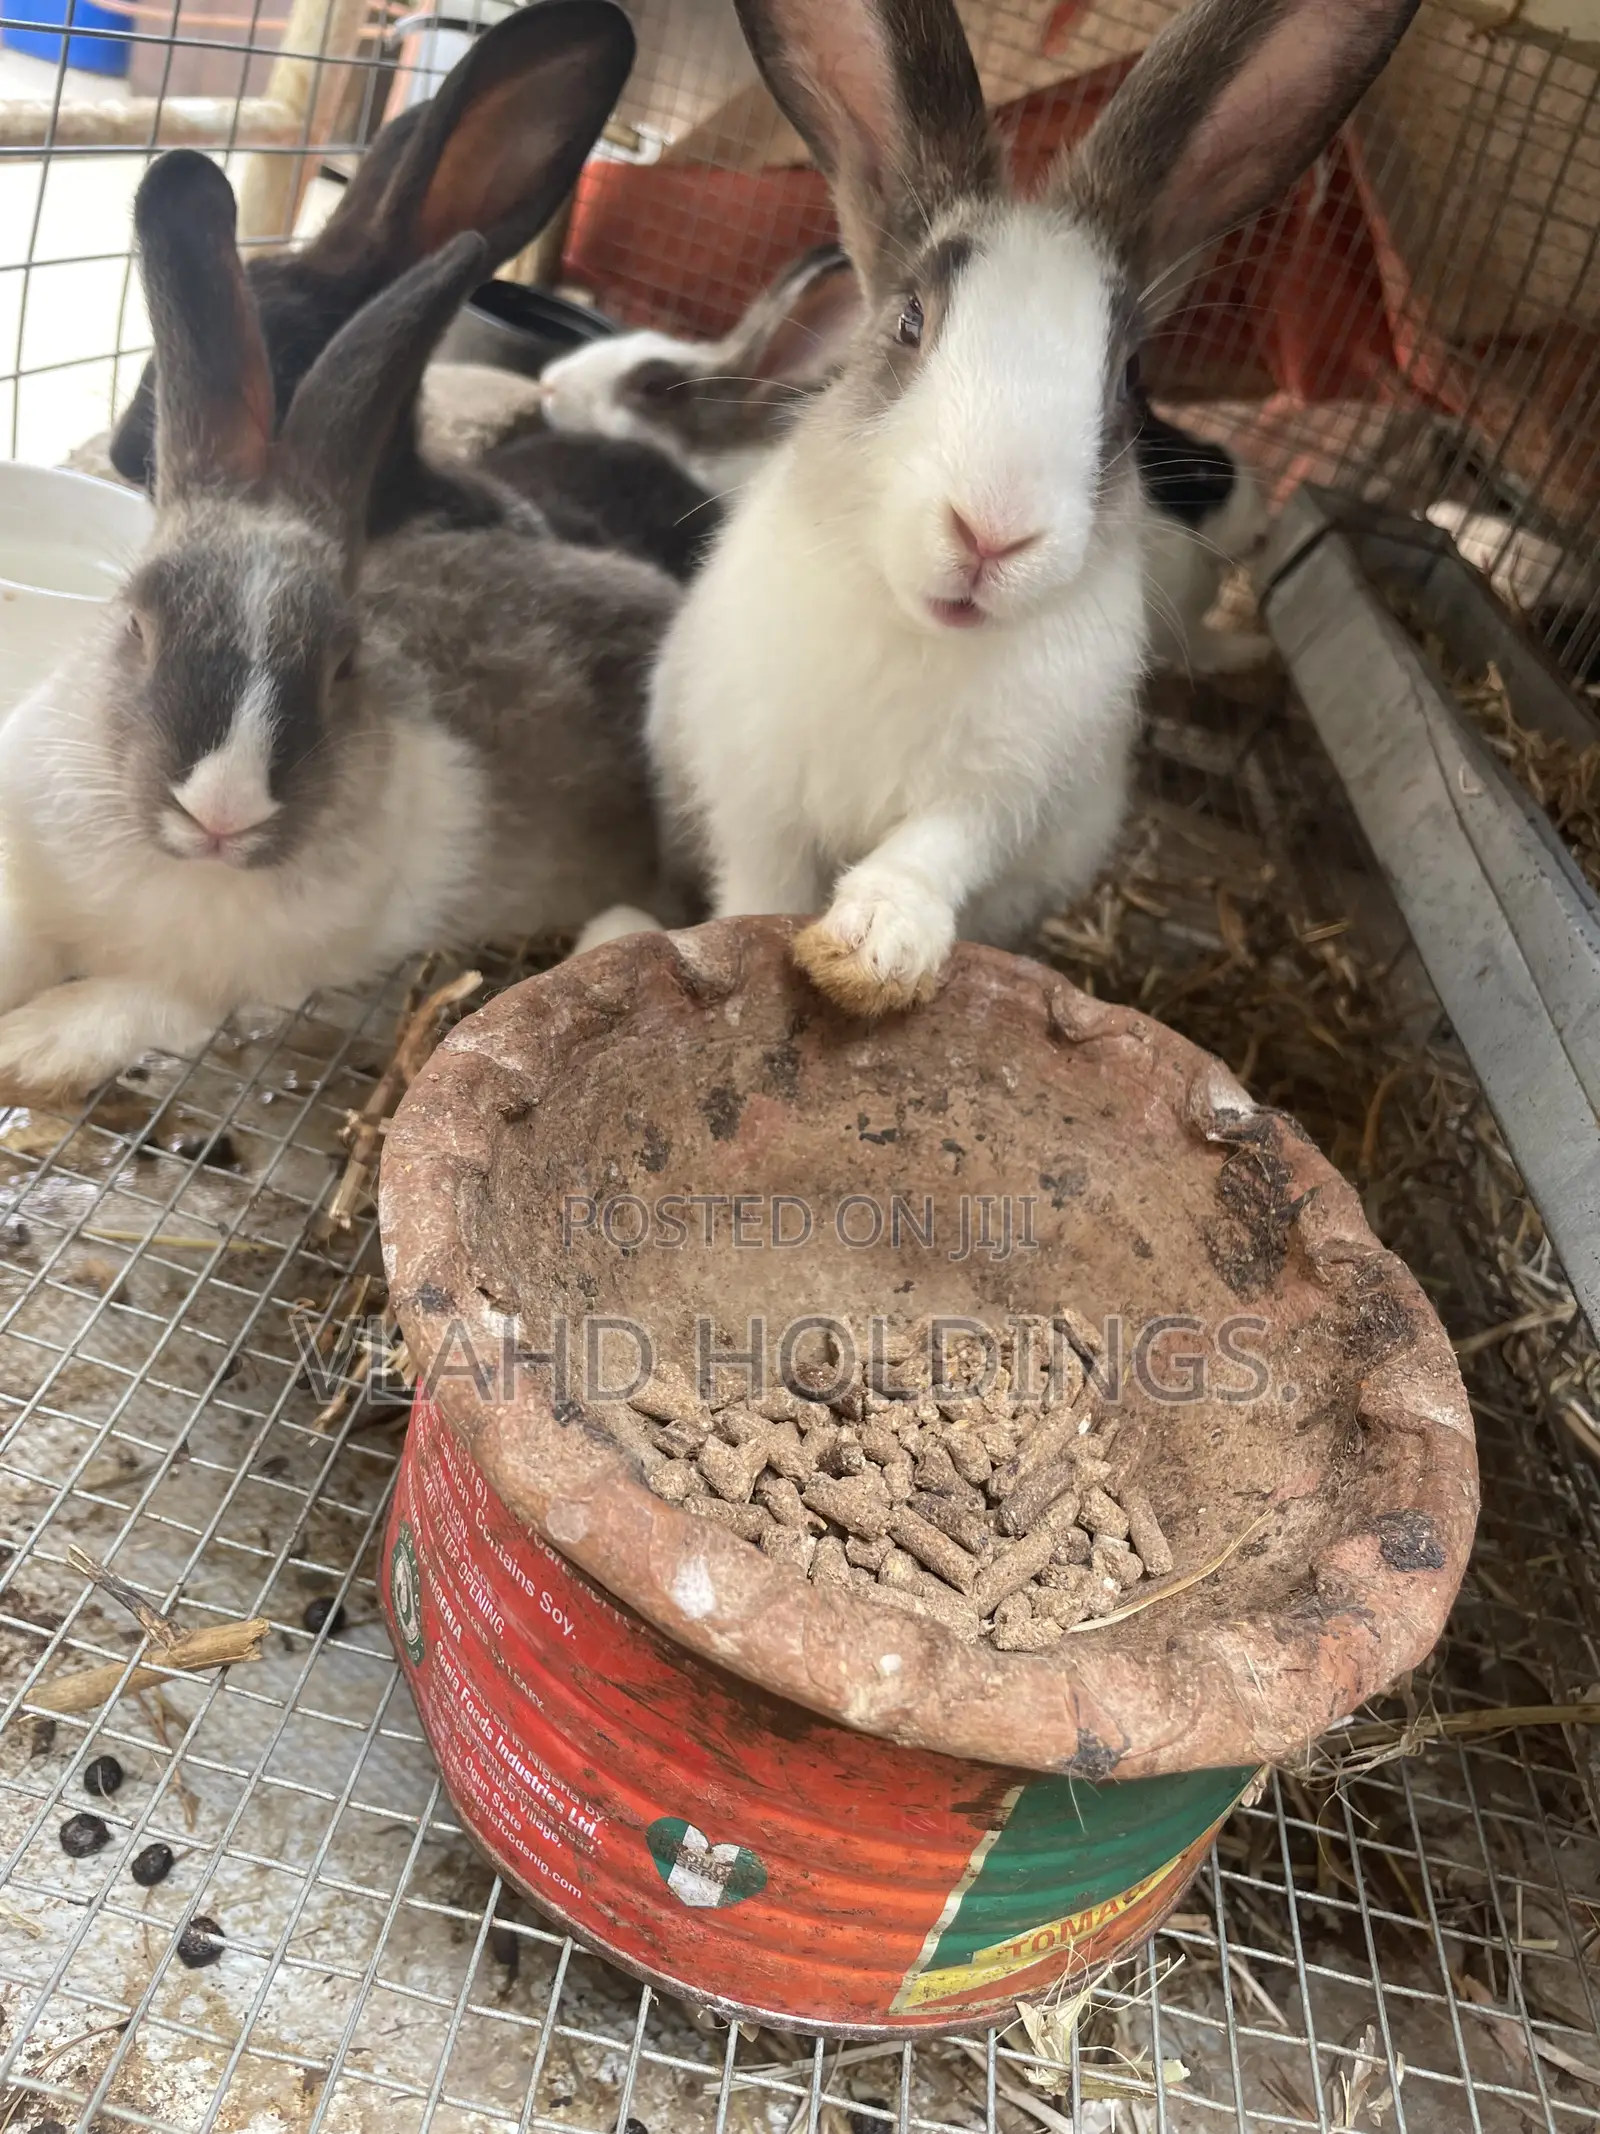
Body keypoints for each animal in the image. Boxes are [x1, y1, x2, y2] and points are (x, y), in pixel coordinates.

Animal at [0, 153, 678, 1101]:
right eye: (136, 621)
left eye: (342, 664)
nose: (222, 810)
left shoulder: (229, 985)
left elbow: (133, 1003)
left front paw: (29, 1046)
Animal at [646, 0, 1420, 1017]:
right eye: (909, 321)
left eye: (1130, 377)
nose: (992, 532)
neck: (923, 635)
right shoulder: (756, 787)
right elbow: (761, 884)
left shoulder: (998, 792)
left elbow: (928, 854)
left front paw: (873, 952)